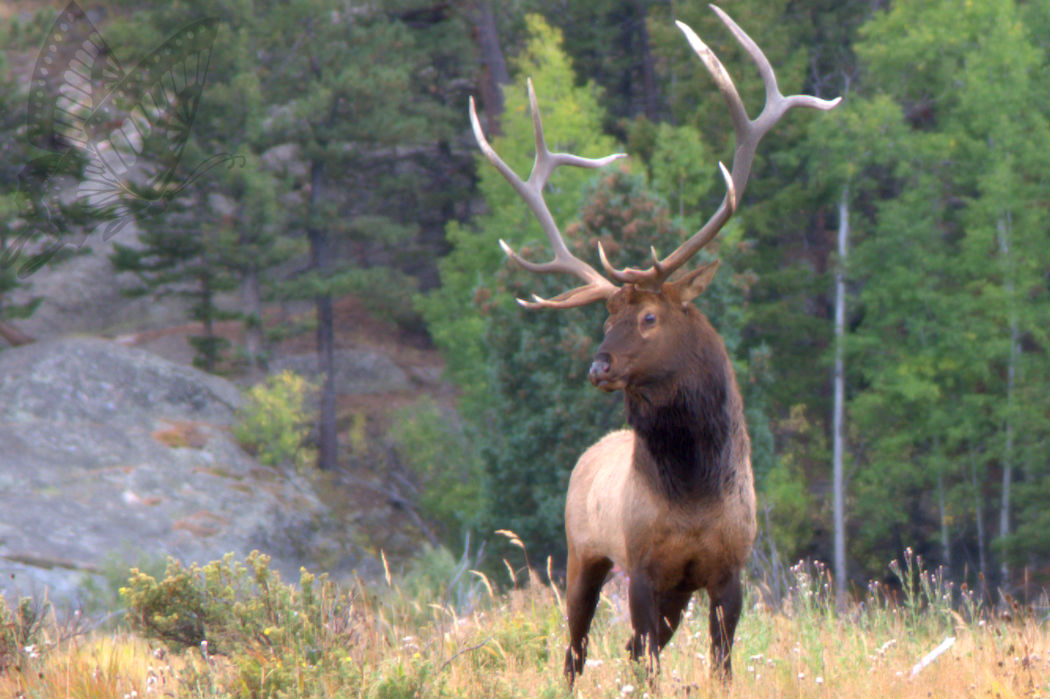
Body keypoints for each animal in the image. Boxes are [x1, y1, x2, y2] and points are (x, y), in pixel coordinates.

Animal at [468, 5, 840, 686]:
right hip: (583, 556)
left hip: (673, 593)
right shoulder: (642, 567)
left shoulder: (725, 572)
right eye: (603, 317)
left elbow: (719, 666)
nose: (599, 365)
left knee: (625, 648)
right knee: (577, 651)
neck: (691, 496)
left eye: (647, 316)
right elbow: (644, 667)